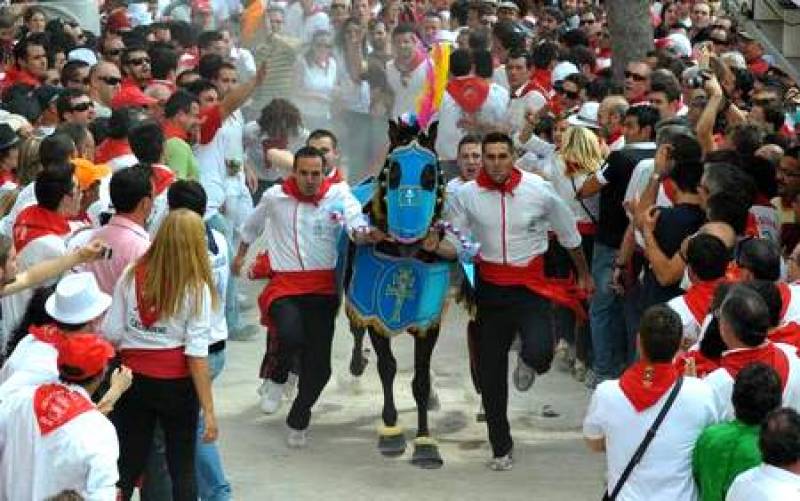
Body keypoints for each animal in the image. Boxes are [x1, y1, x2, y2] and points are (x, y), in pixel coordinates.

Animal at [344, 115, 454, 466]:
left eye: (432, 173)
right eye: (392, 172)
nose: (409, 234)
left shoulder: (428, 321)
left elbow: (420, 379)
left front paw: (425, 442)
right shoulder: (374, 311)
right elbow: (387, 367)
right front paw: (391, 432)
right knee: (355, 330)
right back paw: (356, 364)